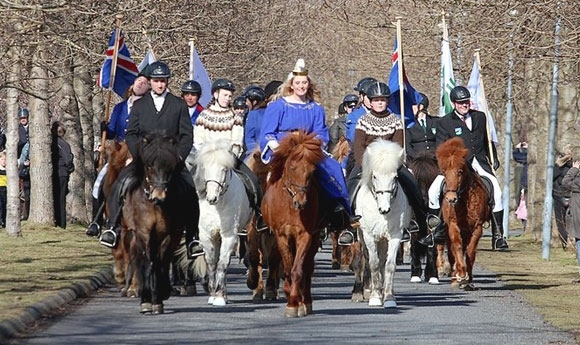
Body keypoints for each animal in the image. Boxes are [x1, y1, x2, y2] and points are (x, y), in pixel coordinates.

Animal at [191, 138, 253, 306]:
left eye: (224, 169)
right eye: (205, 168)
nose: (212, 198)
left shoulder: (229, 235)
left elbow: (223, 263)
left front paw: (219, 296)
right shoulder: (206, 235)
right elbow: (212, 263)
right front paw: (213, 294)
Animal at [244, 148, 282, 300]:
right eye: (259, 179)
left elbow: (273, 259)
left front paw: (270, 289)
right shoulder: (253, 230)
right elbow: (254, 256)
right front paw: (254, 285)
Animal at [262, 130, 326, 318]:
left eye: (312, 170)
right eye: (291, 167)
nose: (301, 202)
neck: (290, 205)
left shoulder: (305, 235)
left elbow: (298, 270)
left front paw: (294, 303)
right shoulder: (282, 236)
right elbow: (288, 269)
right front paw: (291, 299)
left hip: (314, 236)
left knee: (308, 267)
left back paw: (306, 301)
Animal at [354, 138, 412, 308]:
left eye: (395, 177)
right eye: (374, 176)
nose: (384, 209)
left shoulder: (395, 236)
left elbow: (389, 265)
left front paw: (389, 297)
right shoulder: (369, 235)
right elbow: (373, 263)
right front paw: (374, 297)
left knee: (382, 263)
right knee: (368, 260)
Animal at [440, 137, 490, 290]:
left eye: (460, 172)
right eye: (444, 172)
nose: (451, 199)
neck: (463, 201)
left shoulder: (477, 227)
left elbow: (470, 252)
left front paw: (468, 279)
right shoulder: (453, 225)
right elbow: (457, 247)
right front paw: (461, 274)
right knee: (451, 251)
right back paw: (454, 278)